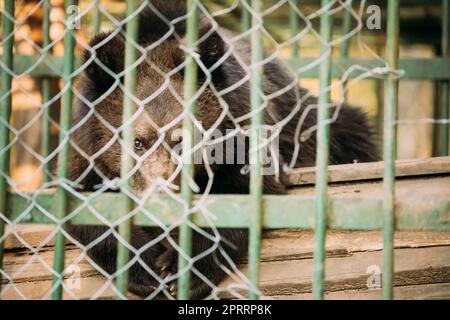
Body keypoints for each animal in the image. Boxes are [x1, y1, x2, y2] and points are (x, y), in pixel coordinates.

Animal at [66, 1, 376, 298]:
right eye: (137, 141)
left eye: (183, 140)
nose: (161, 197)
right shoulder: (85, 147)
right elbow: (87, 203)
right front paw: (146, 269)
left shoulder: (244, 131)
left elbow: (240, 196)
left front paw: (181, 271)